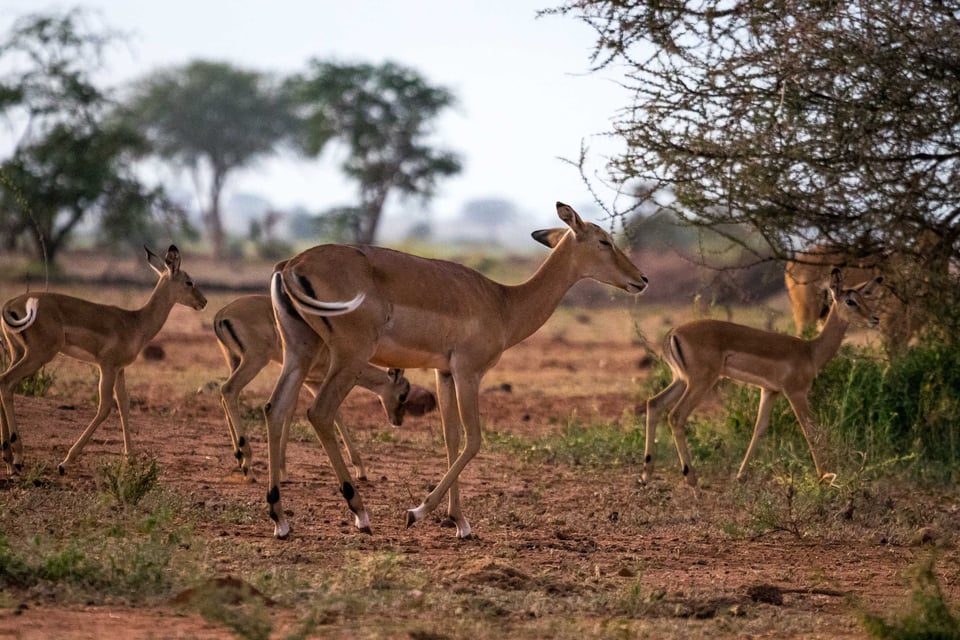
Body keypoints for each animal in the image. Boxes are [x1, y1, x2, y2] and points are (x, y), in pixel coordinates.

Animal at [0, 246, 207, 475]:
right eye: (189, 281)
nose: (203, 302)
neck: (136, 323)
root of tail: (10, 304)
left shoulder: (120, 369)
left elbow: (124, 405)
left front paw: (131, 460)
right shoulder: (107, 366)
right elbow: (105, 407)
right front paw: (65, 462)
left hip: (19, 352)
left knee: (3, 382)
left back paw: (9, 460)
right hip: (38, 354)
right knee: (6, 382)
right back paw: (18, 458)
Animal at [213, 294, 437, 483]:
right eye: (403, 394)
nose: (397, 421)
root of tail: (221, 314)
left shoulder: (311, 381)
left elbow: (303, 412)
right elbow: (325, 413)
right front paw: (360, 469)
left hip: (235, 360)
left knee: (224, 394)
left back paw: (240, 458)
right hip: (255, 360)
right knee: (229, 390)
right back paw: (248, 465)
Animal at [261, 202, 648, 539]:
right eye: (604, 240)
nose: (641, 279)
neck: (504, 304)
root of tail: (291, 265)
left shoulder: (443, 373)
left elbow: (451, 438)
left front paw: (460, 523)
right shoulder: (468, 373)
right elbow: (474, 439)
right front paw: (416, 512)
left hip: (300, 351)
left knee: (275, 408)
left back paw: (281, 519)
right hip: (348, 357)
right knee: (319, 412)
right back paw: (361, 513)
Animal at [641, 268, 882, 488]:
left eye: (865, 298)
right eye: (850, 301)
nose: (875, 319)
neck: (811, 352)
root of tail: (672, 334)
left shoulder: (770, 391)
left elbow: (759, 428)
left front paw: (741, 476)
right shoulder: (796, 392)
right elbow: (810, 430)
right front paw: (824, 477)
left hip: (681, 380)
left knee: (654, 403)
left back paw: (646, 475)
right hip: (699, 382)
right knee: (676, 416)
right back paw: (691, 479)